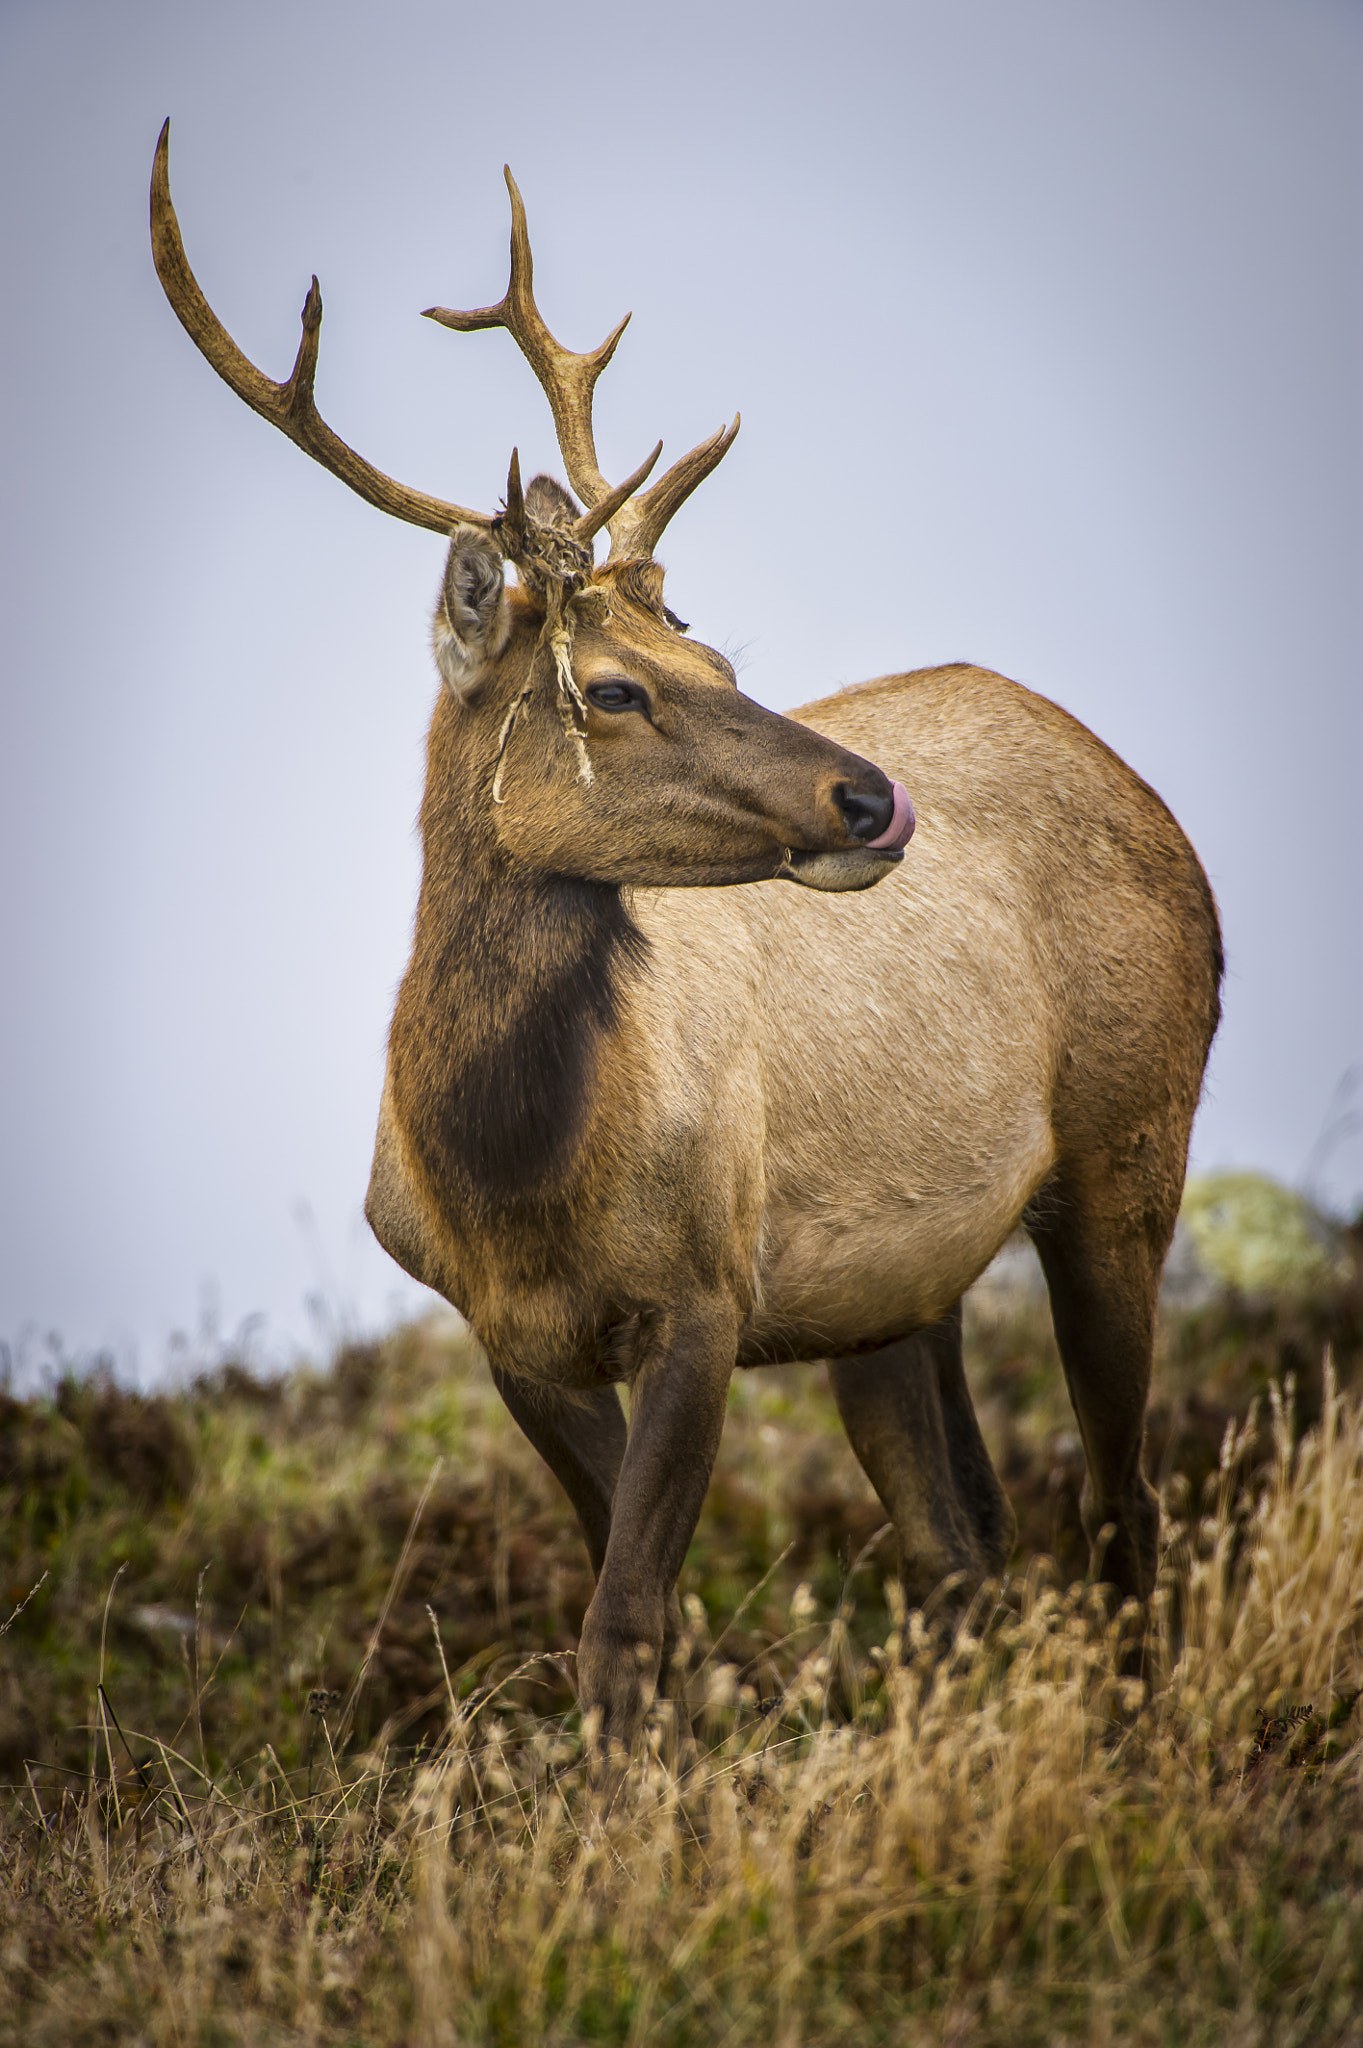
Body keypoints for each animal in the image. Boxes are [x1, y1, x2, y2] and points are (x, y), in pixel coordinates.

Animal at [151, 123, 1223, 1750]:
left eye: (713, 651)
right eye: (608, 688)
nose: (871, 798)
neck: (509, 1178)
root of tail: (1150, 801)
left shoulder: (703, 1295)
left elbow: (622, 1628)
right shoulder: (509, 1337)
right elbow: (636, 1616)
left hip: (1126, 1139)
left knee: (1120, 1502)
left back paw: (1139, 1745)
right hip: (896, 1294)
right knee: (960, 1541)